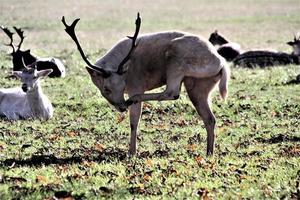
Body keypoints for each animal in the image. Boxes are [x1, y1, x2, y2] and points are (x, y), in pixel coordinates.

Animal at [61, 12, 230, 156]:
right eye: (106, 89)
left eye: (121, 86)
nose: (122, 107)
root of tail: (222, 63)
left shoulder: (136, 85)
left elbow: (134, 121)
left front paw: (132, 152)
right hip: (199, 86)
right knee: (209, 118)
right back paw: (209, 152)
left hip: (176, 61)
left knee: (172, 92)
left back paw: (134, 99)